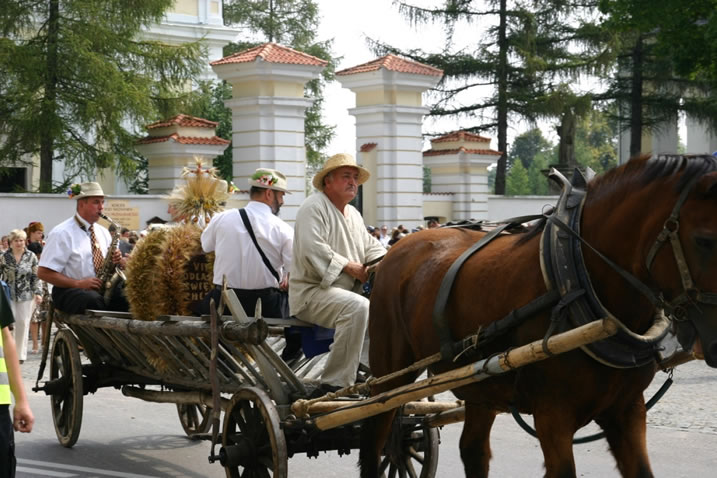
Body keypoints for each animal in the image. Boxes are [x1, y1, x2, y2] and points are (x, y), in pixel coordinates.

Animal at [359, 154, 717, 478]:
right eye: (705, 240)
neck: (576, 279)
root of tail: (391, 253)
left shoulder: (627, 409)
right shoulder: (552, 414)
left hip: (478, 384)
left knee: (472, 450)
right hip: (389, 371)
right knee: (376, 436)